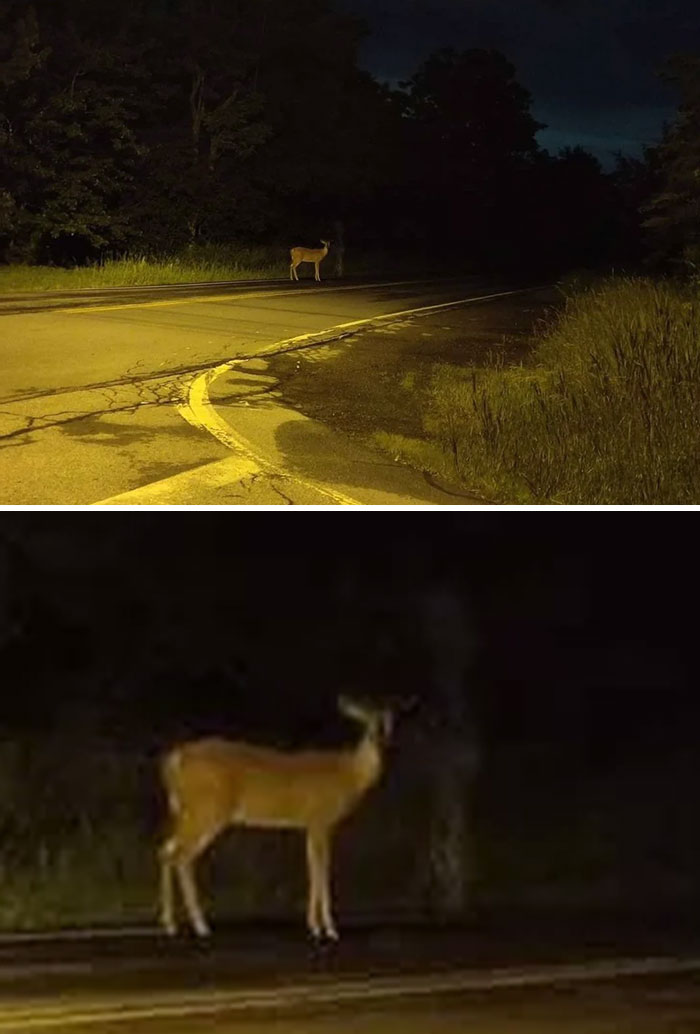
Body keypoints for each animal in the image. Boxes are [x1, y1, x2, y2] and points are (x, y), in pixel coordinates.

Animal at [157, 694, 403, 947]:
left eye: (389, 723)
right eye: (367, 725)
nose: (381, 741)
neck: (349, 775)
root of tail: (175, 760)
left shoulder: (310, 826)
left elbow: (312, 869)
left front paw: (314, 927)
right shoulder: (321, 820)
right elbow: (321, 871)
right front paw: (328, 930)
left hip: (185, 812)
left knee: (165, 851)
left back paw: (170, 925)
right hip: (207, 811)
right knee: (182, 857)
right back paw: (201, 926)